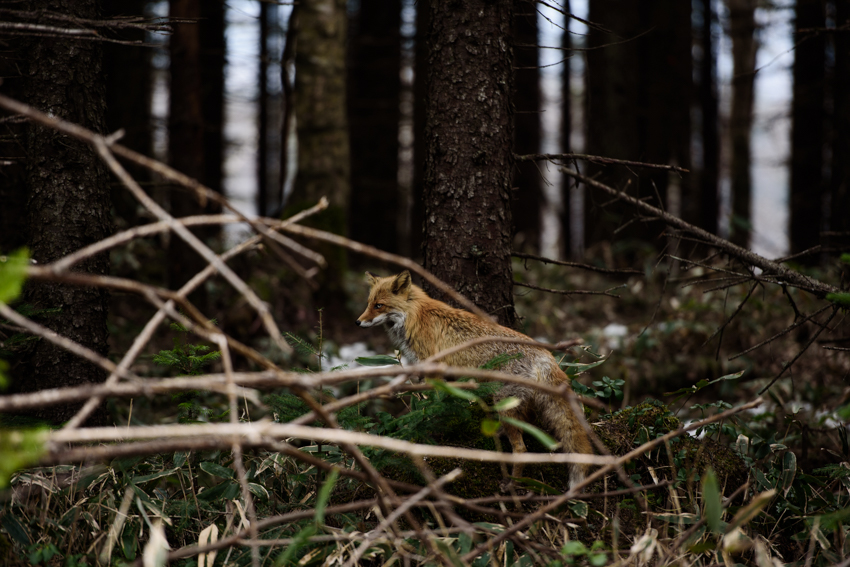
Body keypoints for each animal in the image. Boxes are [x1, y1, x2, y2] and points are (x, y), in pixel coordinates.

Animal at [356, 270, 588, 488]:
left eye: (379, 305)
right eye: (368, 304)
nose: (358, 322)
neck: (414, 315)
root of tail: (546, 354)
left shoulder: (434, 368)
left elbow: (433, 403)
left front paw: (431, 426)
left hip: (504, 400)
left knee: (521, 448)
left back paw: (512, 483)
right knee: (528, 424)